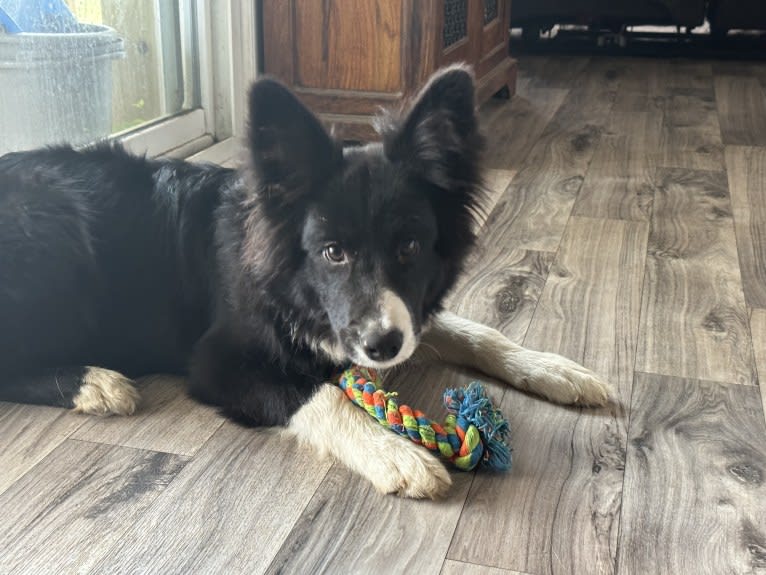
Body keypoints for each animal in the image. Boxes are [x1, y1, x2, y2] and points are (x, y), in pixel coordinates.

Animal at [0, 66, 612, 500]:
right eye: (332, 252)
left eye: (410, 248)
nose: (381, 347)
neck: (287, 279)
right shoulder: (218, 360)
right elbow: (318, 394)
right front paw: (396, 454)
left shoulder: (397, 316)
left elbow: (476, 332)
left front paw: (553, 368)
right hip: (57, 241)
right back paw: (95, 383)